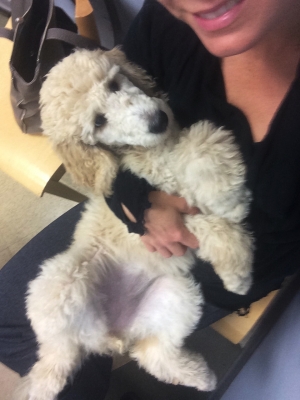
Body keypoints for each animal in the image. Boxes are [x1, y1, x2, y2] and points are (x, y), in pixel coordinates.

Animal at [17, 48, 253, 398]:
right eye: (98, 122)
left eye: (115, 84)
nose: (158, 121)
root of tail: (116, 333)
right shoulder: (161, 181)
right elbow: (199, 148)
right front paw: (230, 201)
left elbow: (204, 148)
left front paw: (236, 261)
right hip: (59, 286)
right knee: (58, 358)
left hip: (176, 295)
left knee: (152, 354)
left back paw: (200, 376)